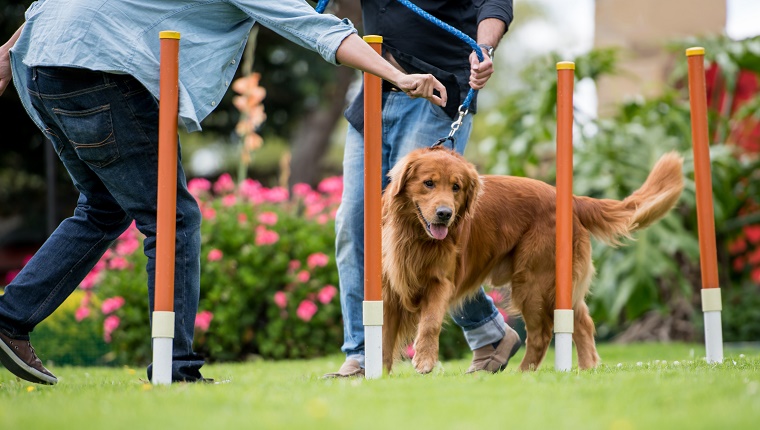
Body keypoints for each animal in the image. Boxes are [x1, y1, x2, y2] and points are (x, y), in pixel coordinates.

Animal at [382, 146, 684, 374]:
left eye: (456, 187)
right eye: (428, 183)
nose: (445, 213)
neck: (414, 236)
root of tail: (571, 200)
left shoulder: (441, 282)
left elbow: (430, 322)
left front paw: (424, 360)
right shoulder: (389, 290)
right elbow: (384, 337)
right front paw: (380, 377)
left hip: (533, 282)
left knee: (542, 334)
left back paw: (524, 374)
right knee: (582, 321)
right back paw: (587, 369)